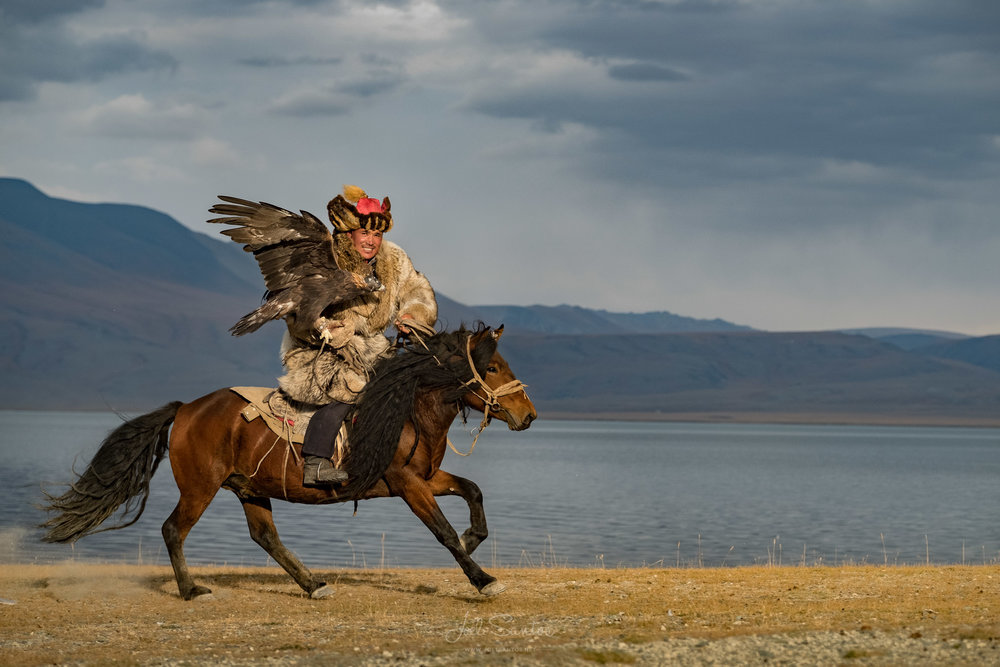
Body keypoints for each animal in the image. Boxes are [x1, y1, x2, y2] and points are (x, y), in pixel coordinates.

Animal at [42, 326, 536, 604]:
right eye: (492, 367)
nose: (529, 415)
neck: (408, 410)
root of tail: (186, 410)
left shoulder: (426, 478)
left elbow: (472, 491)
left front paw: (475, 539)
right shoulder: (407, 484)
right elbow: (443, 532)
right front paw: (483, 581)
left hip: (250, 488)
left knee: (265, 537)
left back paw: (314, 586)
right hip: (201, 487)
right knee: (173, 530)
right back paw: (190, 591)